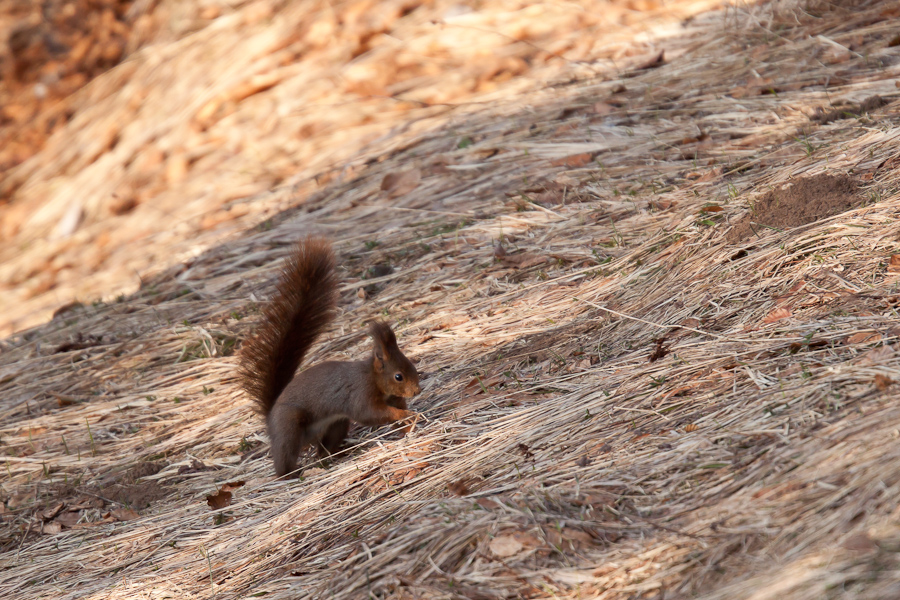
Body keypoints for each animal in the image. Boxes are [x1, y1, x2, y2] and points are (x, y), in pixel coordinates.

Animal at [239, 237, 422, 476]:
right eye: (398, 376)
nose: (417, 390)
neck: (374, 378)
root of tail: (270, 416)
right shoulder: (360, 394)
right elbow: (370, 413)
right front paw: (403, 416)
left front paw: (408, 419)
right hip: (289, 426)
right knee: (284, 455)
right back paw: (292, 473)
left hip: (336, 424)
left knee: (323, 449)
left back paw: (337, 453)